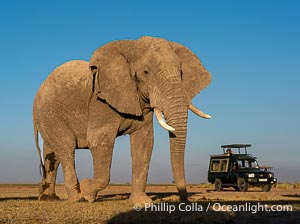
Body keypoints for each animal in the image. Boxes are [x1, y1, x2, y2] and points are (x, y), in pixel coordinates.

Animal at [32, 36, 211, 203]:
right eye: (146, 72)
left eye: (181, 72)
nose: (183, 199)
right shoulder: (101, 101)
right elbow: (99, 141)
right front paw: (88, 192)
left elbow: (144, 142)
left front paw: (141, 202)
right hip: (49, 113)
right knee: (66, 147)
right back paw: (77, 198)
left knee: (52, 154)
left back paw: (48, 197)